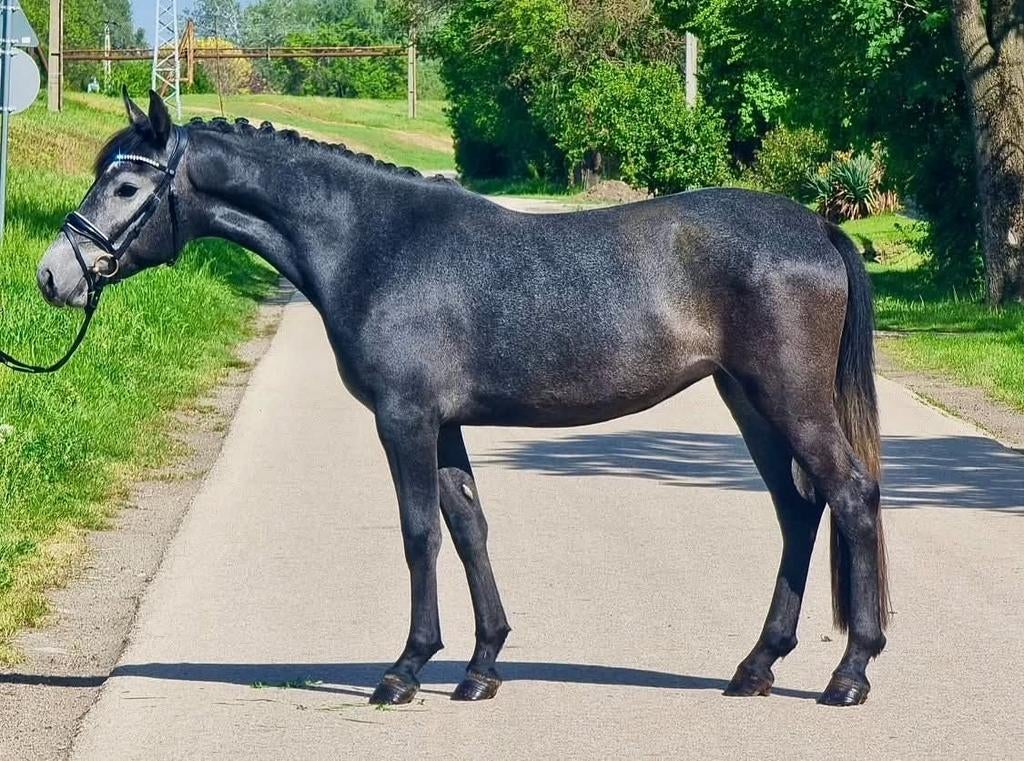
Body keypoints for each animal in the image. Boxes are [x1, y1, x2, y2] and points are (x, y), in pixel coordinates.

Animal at [37, 90, 890, 707]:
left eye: (126, 183)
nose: (53, 274)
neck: (376, 243)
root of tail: (816, 226)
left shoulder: (405, 420)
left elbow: (420, 533)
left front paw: (405, 670)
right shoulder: (442, 426)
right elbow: (469, 526)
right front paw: (481, 667)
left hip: (788, 399)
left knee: (849, 494)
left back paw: (850, 672)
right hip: (748, 400)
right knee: (798, 508)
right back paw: (756, 665)